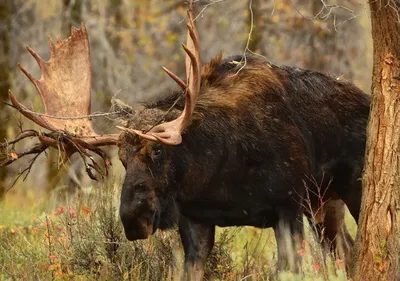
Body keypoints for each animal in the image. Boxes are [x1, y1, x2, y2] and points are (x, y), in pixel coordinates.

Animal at [1, 1, 370, 278]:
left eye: (158, 151)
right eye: (121, 158)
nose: (133, 219)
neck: (219, 174)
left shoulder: (287, 206)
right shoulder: (195, 220)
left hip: (349, 190)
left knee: (351, 249)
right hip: (325, 203)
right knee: (348, 250)